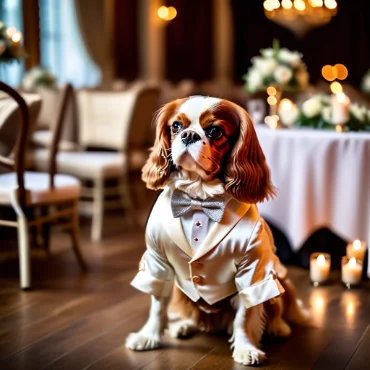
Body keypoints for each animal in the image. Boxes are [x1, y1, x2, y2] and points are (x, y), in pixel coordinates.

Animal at [125, 95, 308, 364]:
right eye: (176, 126)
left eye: (215, 131)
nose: (188, 135)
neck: (199, 198)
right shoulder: (157, 261)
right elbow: (157, 305)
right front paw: (148, 337)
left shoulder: (252, 269)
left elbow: (245, 315)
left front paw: (245, 348)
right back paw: (185, 325)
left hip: (278, 275)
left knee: (273, 305)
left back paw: (277, 327)